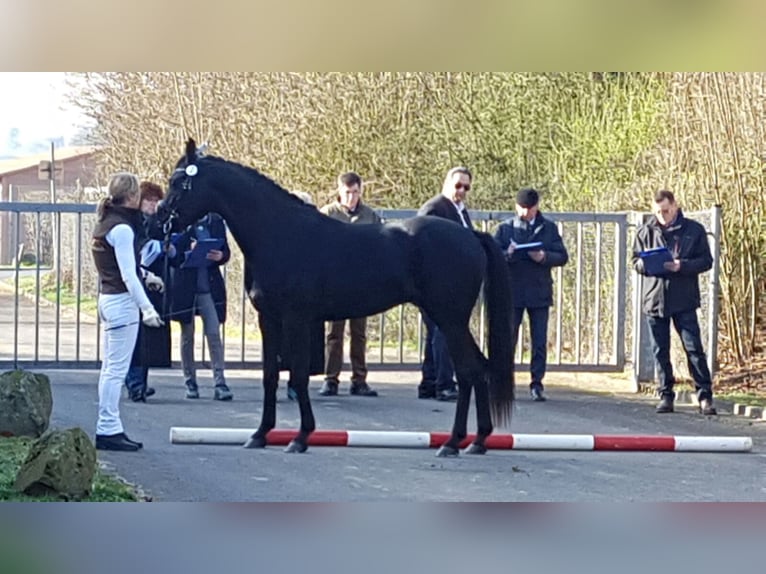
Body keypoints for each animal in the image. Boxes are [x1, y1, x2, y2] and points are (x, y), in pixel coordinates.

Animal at [159, 137, 516, 456]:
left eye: (180, 182)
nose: (160, 218)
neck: (279, 233)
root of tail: (470, 236)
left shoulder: (296, 318)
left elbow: (298, 374)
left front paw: (300, 438)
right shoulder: (269, 319)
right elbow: (270, 375)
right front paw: (260, 434)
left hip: (449, 319)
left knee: (470, 370)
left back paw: (455, 443)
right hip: (448, 320)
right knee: (475, 369)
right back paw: (474, 441)